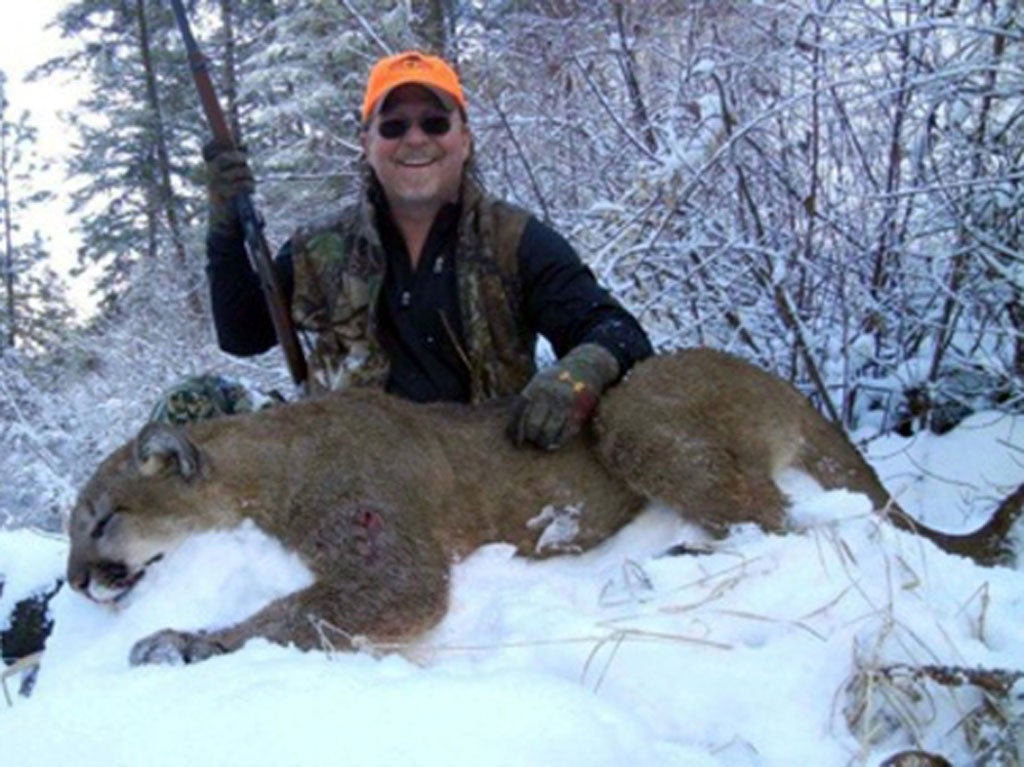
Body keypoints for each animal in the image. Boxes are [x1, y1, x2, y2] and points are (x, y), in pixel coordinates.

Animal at [65, 349, 1017, 665]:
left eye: (102, 518)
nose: (75, 583)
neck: (270, 459)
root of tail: (780, 378)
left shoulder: (389, 565)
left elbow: (293, 613)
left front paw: (178, 641)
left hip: (634, 412)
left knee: (778, 523)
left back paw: (659, 570)